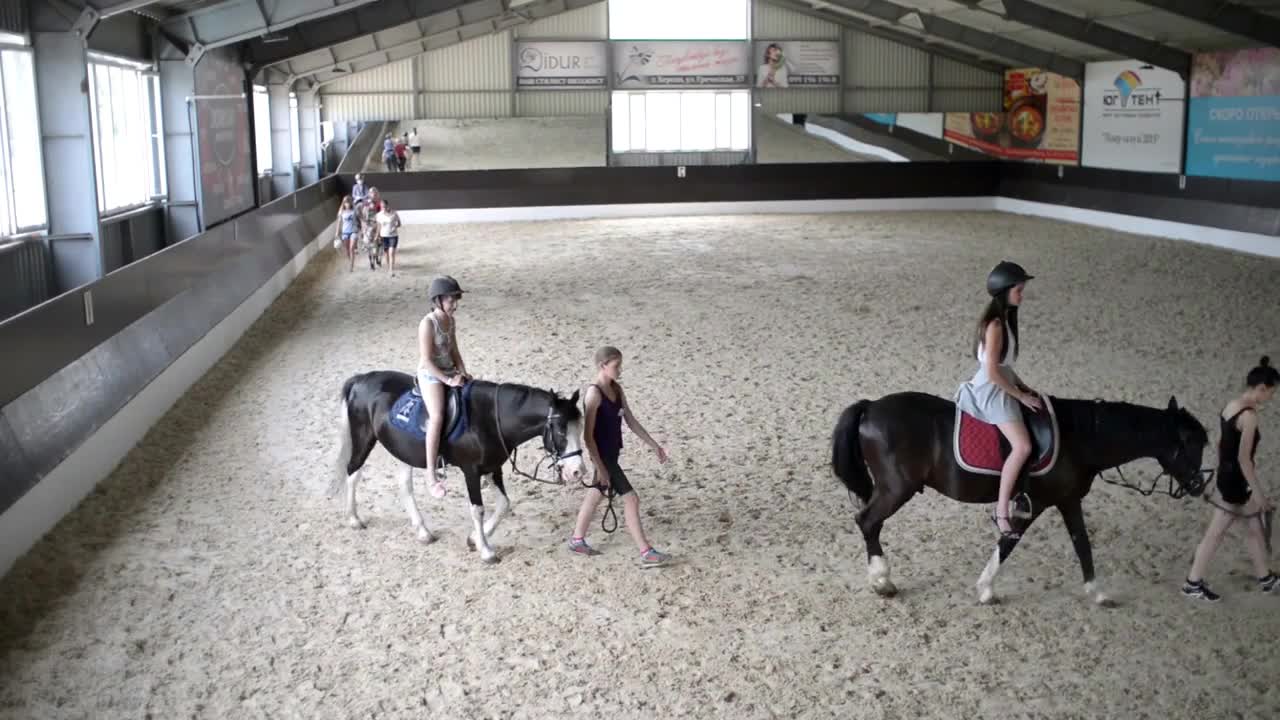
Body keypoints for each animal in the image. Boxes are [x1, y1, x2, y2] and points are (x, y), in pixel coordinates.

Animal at [332, 368, 586, 561]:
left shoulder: (493, 468)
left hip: (404, 450)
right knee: (352, 472)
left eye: (580, 428)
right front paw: (486, 551)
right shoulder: (471, 471)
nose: (578, 471)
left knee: (404, 486)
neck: (490, 418)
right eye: (561, 431)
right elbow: (478, 509)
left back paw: (423, 532)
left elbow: (504, 504)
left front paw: (474, 539)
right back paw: (354, 519)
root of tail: (361, 379)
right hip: (364, 438)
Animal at [829, 389, 1208, 602]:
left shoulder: (1065, 500)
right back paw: (882, 581)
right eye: (1192, 443)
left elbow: (1077, 543)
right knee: (867, 522)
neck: (1080, 438)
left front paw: (1096, 591)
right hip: (896, 489)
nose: (1199, 486)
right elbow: (1015, 541)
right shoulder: (1040, 502)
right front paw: (986, 589)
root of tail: (871, 407)